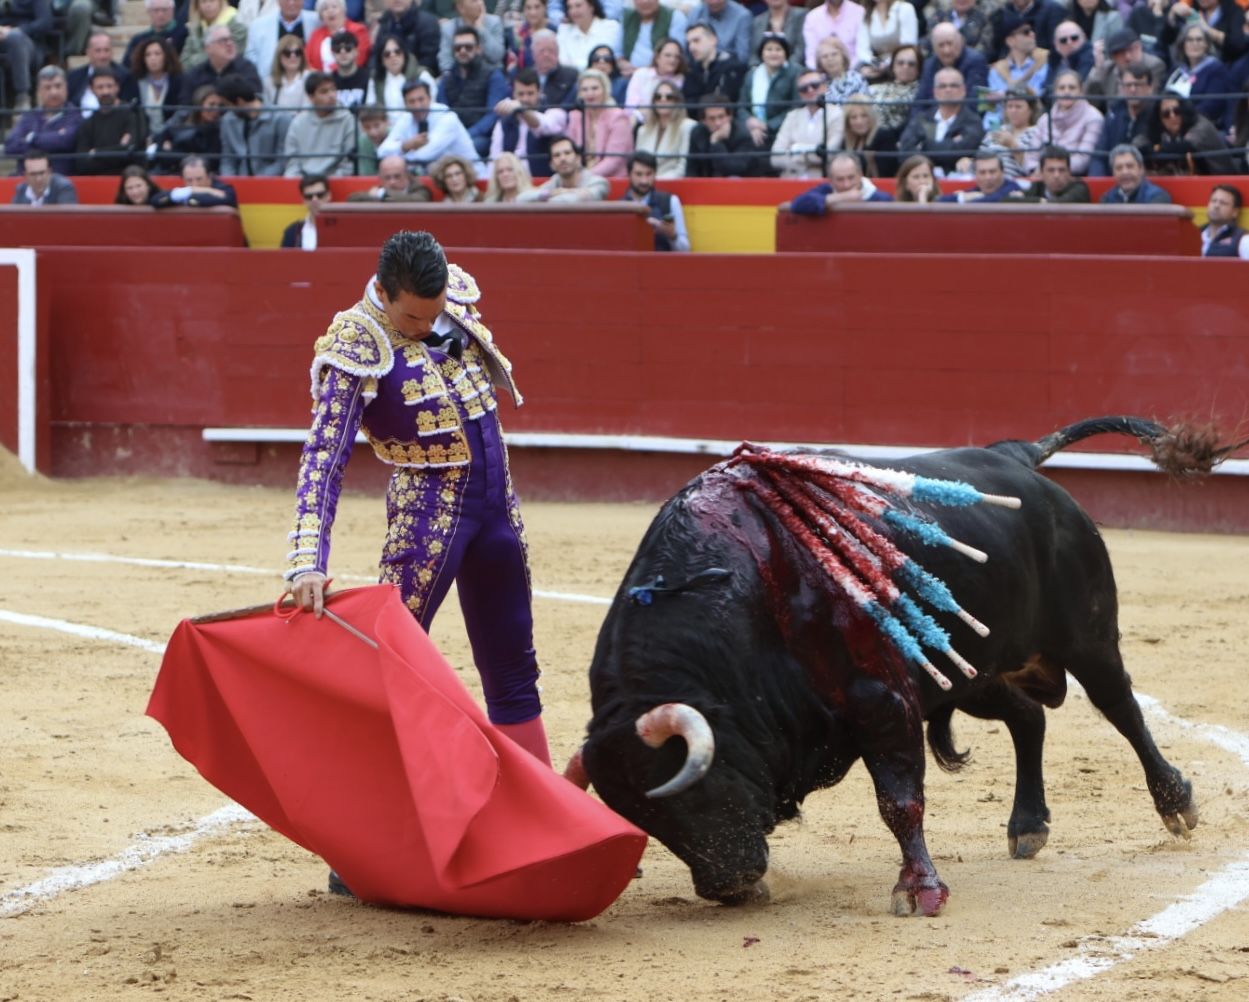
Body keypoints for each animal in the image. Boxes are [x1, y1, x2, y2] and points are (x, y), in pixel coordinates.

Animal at [574, 414, 1239, 914]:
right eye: (646, 818)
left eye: (695, 788)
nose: (728, 887)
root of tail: (1018, 459)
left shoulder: (882, 700)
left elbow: (899, 800)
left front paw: (919, 892)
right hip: (968, 671)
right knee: (1029, 717)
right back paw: (1027, 825)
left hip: (1086, 636)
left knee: (1120, 707)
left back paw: (1175, 803)